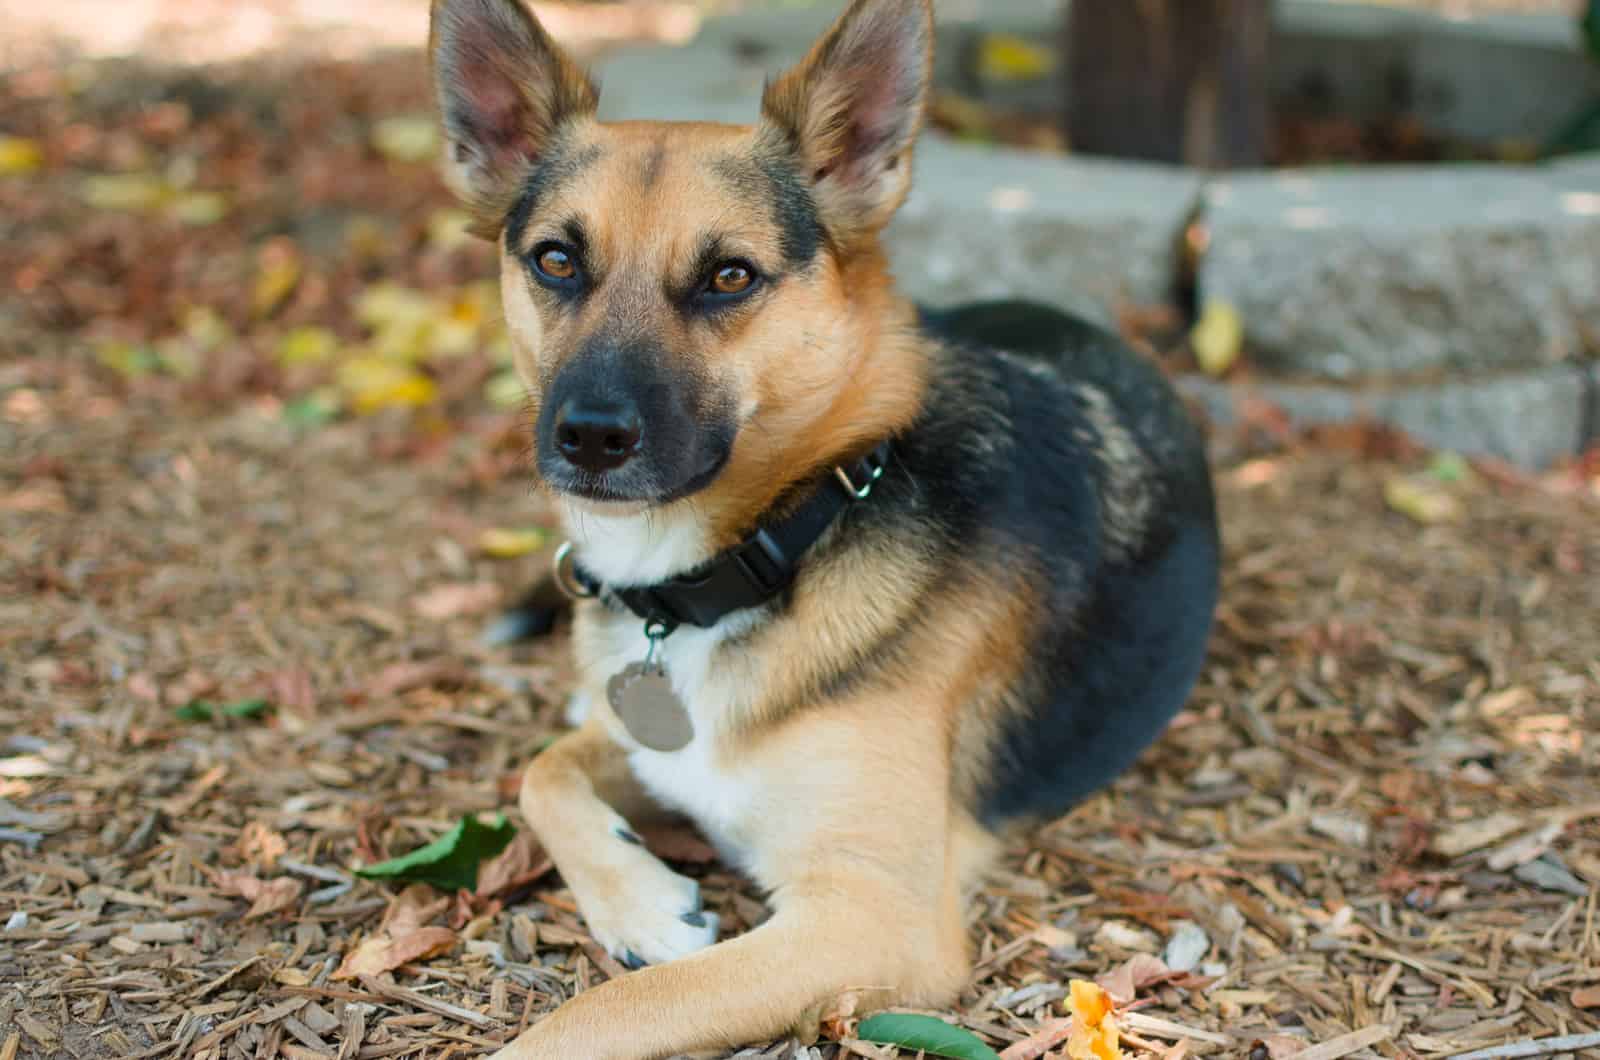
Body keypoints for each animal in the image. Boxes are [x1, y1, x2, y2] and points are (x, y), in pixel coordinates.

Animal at [432, 2, 1216, 1056]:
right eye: (556, 260)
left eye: (729, 276)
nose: (589, 436)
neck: (776, 542)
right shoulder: (648, 747)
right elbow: (540, 772)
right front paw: (643, 901)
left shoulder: (869, 916)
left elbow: (598, 1014)